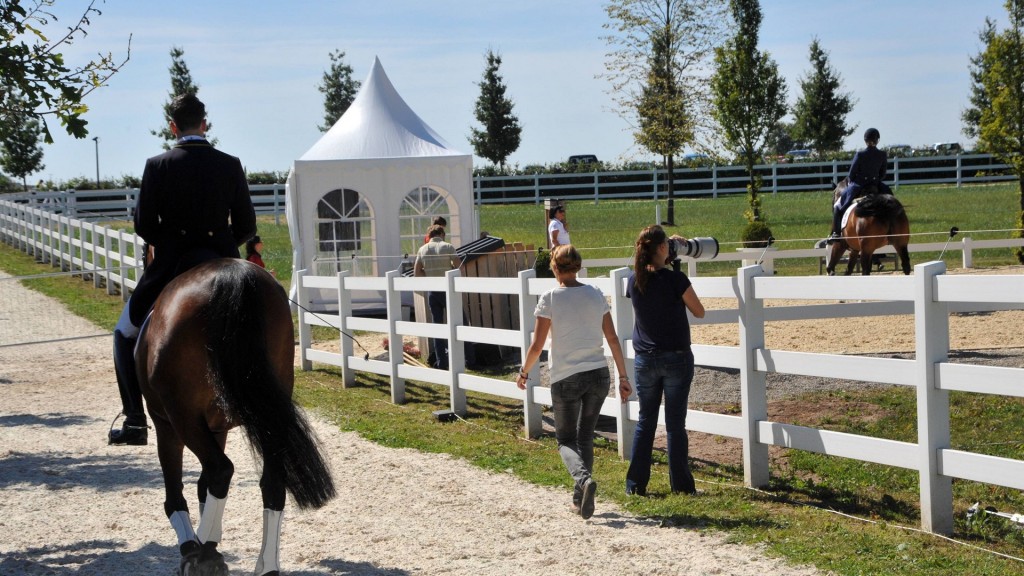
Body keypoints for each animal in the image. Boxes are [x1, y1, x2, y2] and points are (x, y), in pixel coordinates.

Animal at [135, 258, 335, 569]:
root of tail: (232, 275)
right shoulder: (217, 428)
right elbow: (202, 486)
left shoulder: (166, 424)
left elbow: (177, 495)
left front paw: (198, 547)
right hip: (268, 418)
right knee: (271, 484)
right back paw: (265, 567)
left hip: (182, 417)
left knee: (220, 470)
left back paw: (200, 553)